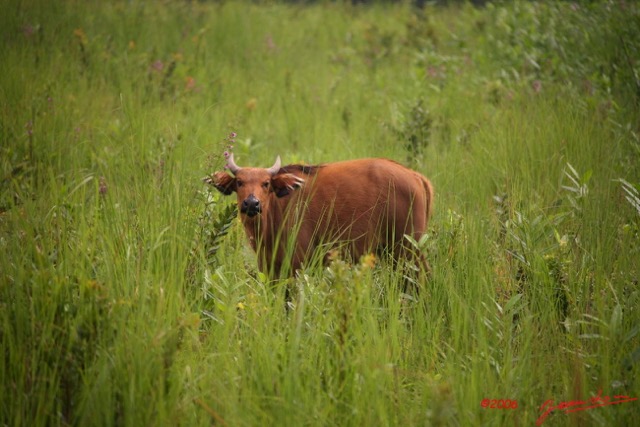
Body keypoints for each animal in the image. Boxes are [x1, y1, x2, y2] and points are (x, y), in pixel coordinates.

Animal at [208, 155, 432, 280]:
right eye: (239, 182)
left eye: (266, 183)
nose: (252, 203)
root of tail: (415, 176)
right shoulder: (269, 265)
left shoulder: (296, 263)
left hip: (408, 249)